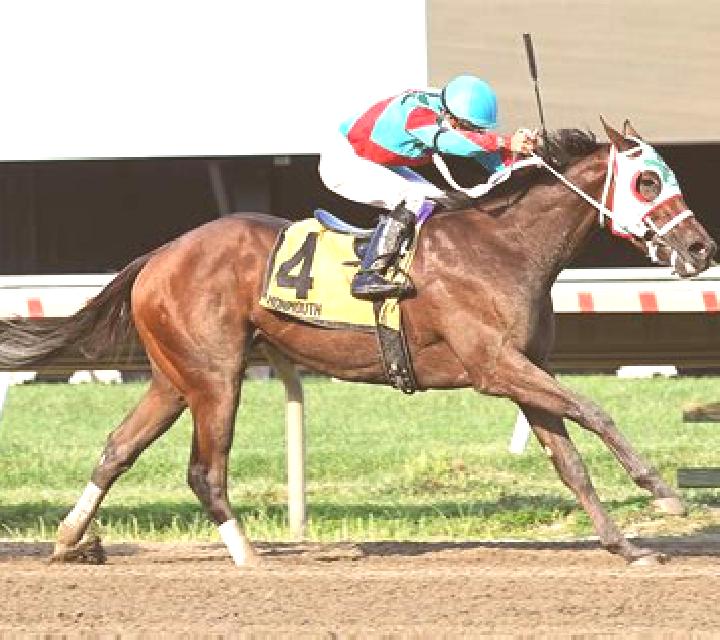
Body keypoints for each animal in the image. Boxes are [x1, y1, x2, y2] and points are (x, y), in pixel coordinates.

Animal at [0, 119, 715, 566]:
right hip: (216, 375)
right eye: (648, 182)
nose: (701, 247)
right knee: (204, 471)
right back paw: (250, 557)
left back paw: (70, 540)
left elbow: (570, 464)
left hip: (176, 376)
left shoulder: (523, 372)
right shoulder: (496, 367)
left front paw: (625, 545)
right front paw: (664, 493)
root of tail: (160, 254)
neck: (507, 247)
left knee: (117, 448)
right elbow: (596, 411)